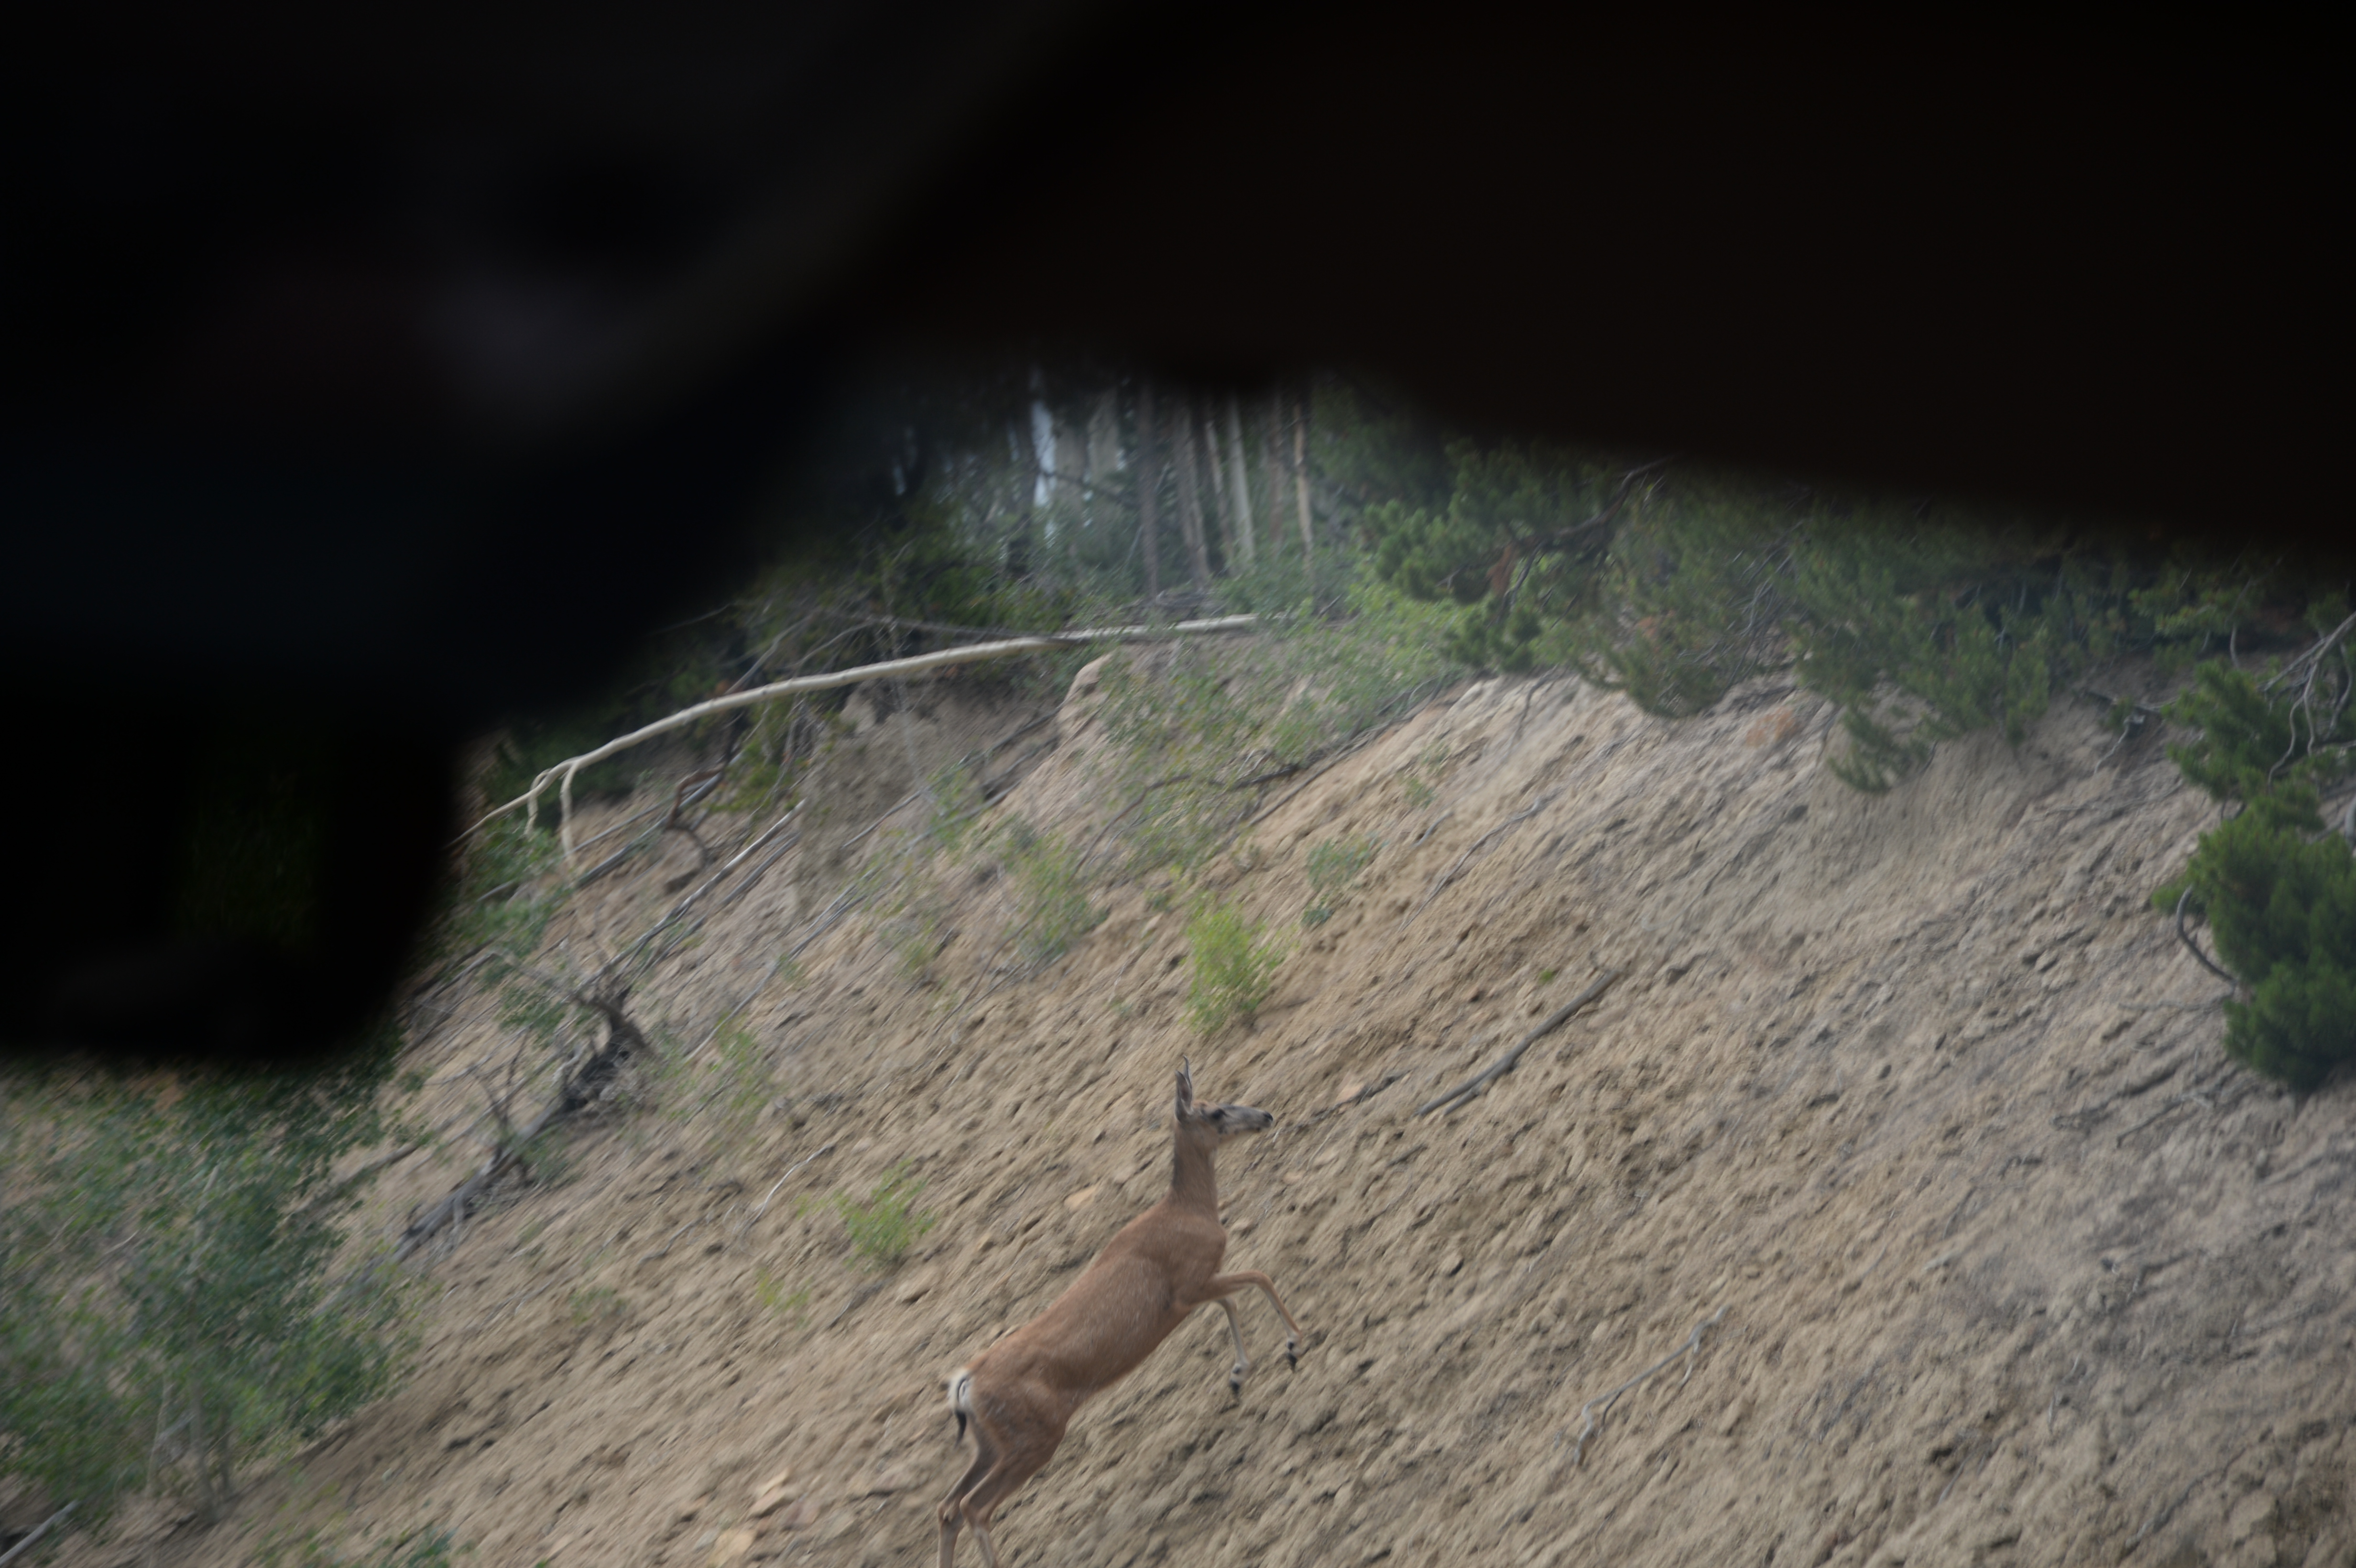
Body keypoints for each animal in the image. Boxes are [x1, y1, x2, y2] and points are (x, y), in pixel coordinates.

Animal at [937, 1060, 1302, 1568]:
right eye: (1215, 1111)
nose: (1266, 1116)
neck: (1190, 1210)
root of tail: (966, 1384)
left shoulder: (1190, 1294)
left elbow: (1231, 1299)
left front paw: (1238, 1375)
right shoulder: (1189, 1283)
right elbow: (1258, 1278)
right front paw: (1293, 1344)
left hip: (991, 1443)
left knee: (948, 1507)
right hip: (1035, 1436)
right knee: (974, 1507)